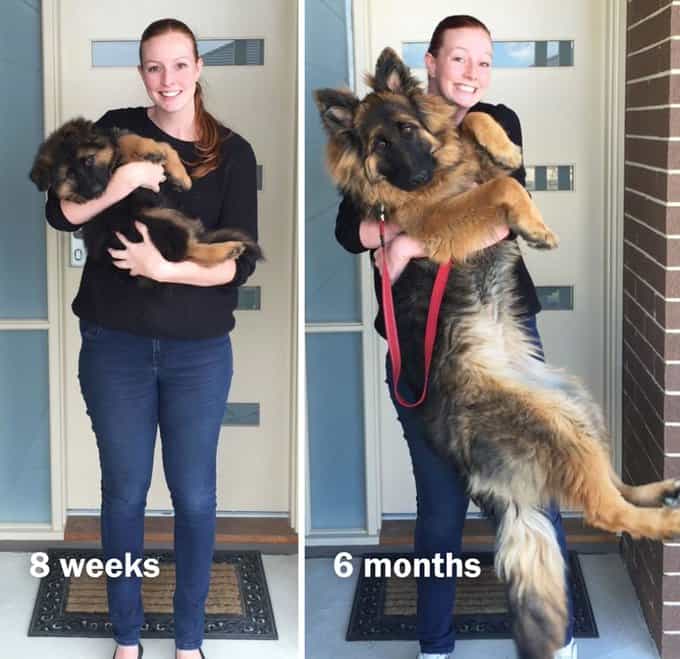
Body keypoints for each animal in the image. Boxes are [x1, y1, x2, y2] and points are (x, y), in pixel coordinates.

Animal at [28, 118, 260, 274]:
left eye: (89, 160)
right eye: (69, 175)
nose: (95, 191)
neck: (113, 167)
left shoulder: (117, 145)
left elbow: (144, 142)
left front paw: (177, 173)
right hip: (158, 221)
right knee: (187, 251)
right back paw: (226, 250)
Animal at [316, 47, 680, 659]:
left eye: (407, 129)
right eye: (378, 144)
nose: (418, 176)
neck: (441, 175)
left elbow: (479, 127)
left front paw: (505, 147)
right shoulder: (441, 220)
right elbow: (502, 192)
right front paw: (536, 227)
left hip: (577, 405)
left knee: (612, 483)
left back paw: (661, 491)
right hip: (557, 424)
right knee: (605, 509)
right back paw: (668, 524)